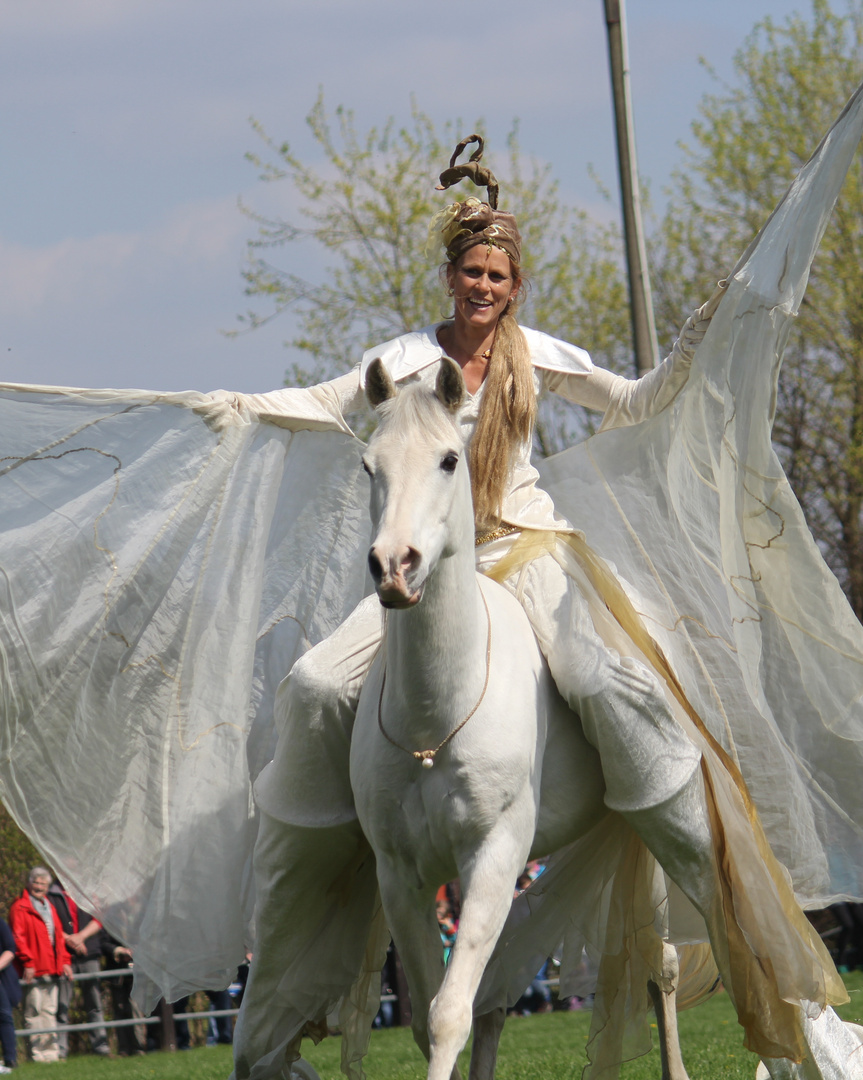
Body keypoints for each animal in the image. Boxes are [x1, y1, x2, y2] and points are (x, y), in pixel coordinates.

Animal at [347, 360, 691, 1080]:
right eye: (369, 465)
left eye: (449, 459)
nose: (394, 566)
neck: (435, 720)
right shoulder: (403, 877)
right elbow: (429, 1016)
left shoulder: (493, 854)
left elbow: (448, 1014)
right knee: (498, 999)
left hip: (644, 834)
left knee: (661, 966)